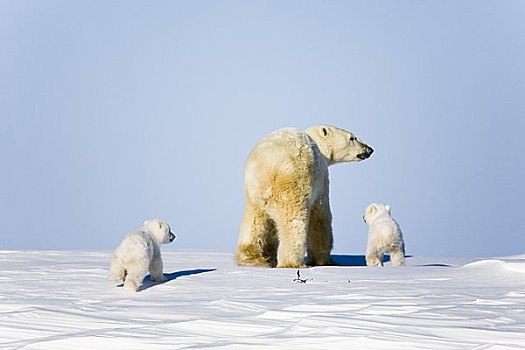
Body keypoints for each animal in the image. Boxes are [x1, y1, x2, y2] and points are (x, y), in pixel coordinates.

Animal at [233, 126, 372, 268]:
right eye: (352, 138)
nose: (369, 149)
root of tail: (269, 168)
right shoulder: (321, 181)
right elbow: (320, 217)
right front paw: (324, 261)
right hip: (292, 185)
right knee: (293, 222)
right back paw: (292, 262)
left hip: (253, 193)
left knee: (254, 221)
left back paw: (251, 258)